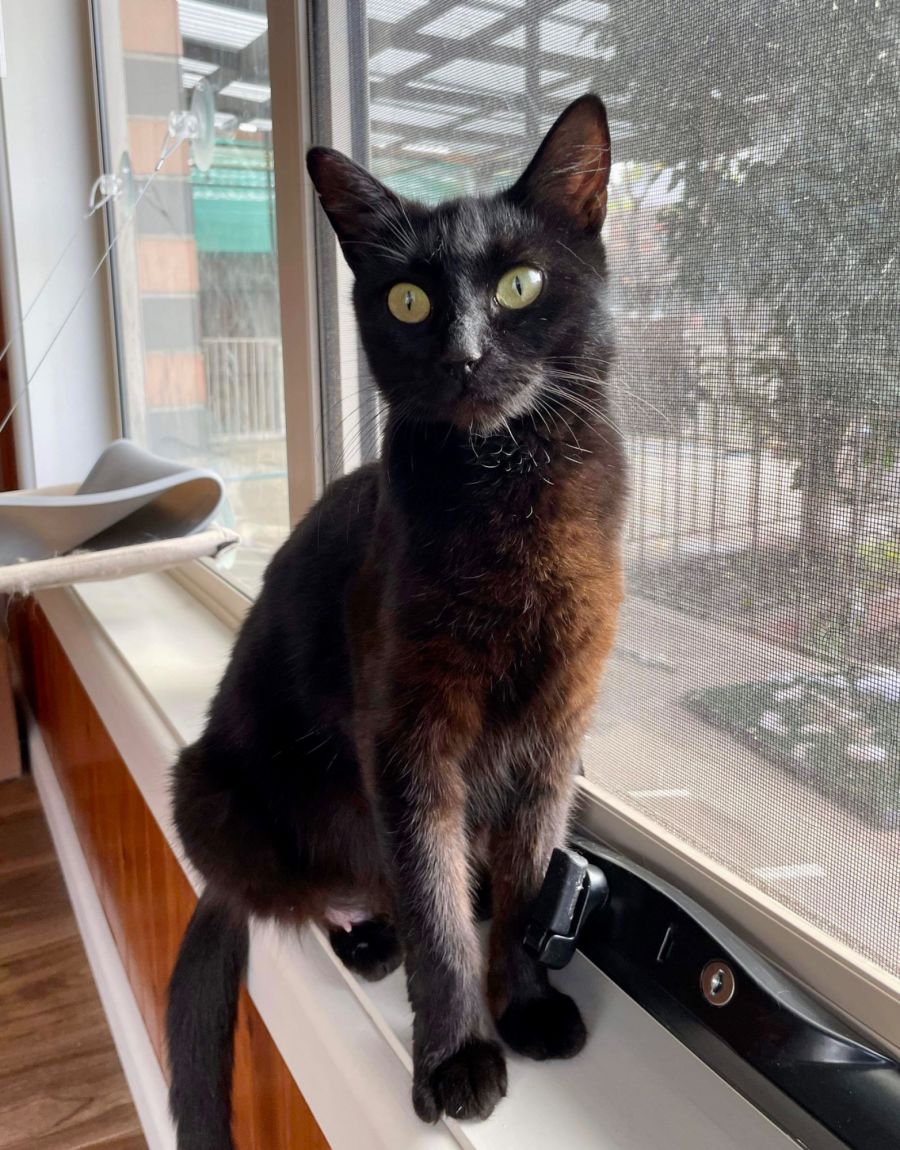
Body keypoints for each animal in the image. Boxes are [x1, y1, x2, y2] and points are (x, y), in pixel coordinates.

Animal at [166, 93, 626, 1149]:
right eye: (409, 301)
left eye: (520, 284)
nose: (464, 354)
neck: (508, 493)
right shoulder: (410, 737)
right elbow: (432, 906)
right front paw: (457, 1055)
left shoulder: (554, 736)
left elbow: (531, 878)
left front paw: (525, 1002)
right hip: (208, 796)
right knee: (315, 891)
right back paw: (368, 937)